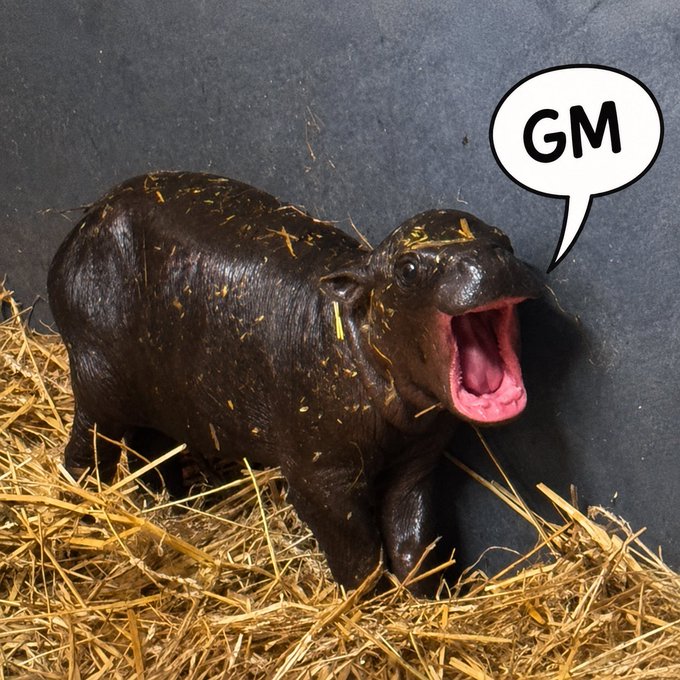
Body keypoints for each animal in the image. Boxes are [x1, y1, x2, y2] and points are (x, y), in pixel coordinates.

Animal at [48, 172, 540, 595]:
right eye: (408, 269)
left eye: (503, 239)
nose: (487, 260)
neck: (356, 329)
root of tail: (81, 225)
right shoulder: (319, 475)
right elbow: (357, 550)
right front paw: (366, 605)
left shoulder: (417, 460)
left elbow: (413, 537)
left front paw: (423, 600)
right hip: (98, 376)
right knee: (88, 447)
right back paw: (86, 510)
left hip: (159, 396)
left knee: (150, 450)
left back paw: (174, 505)